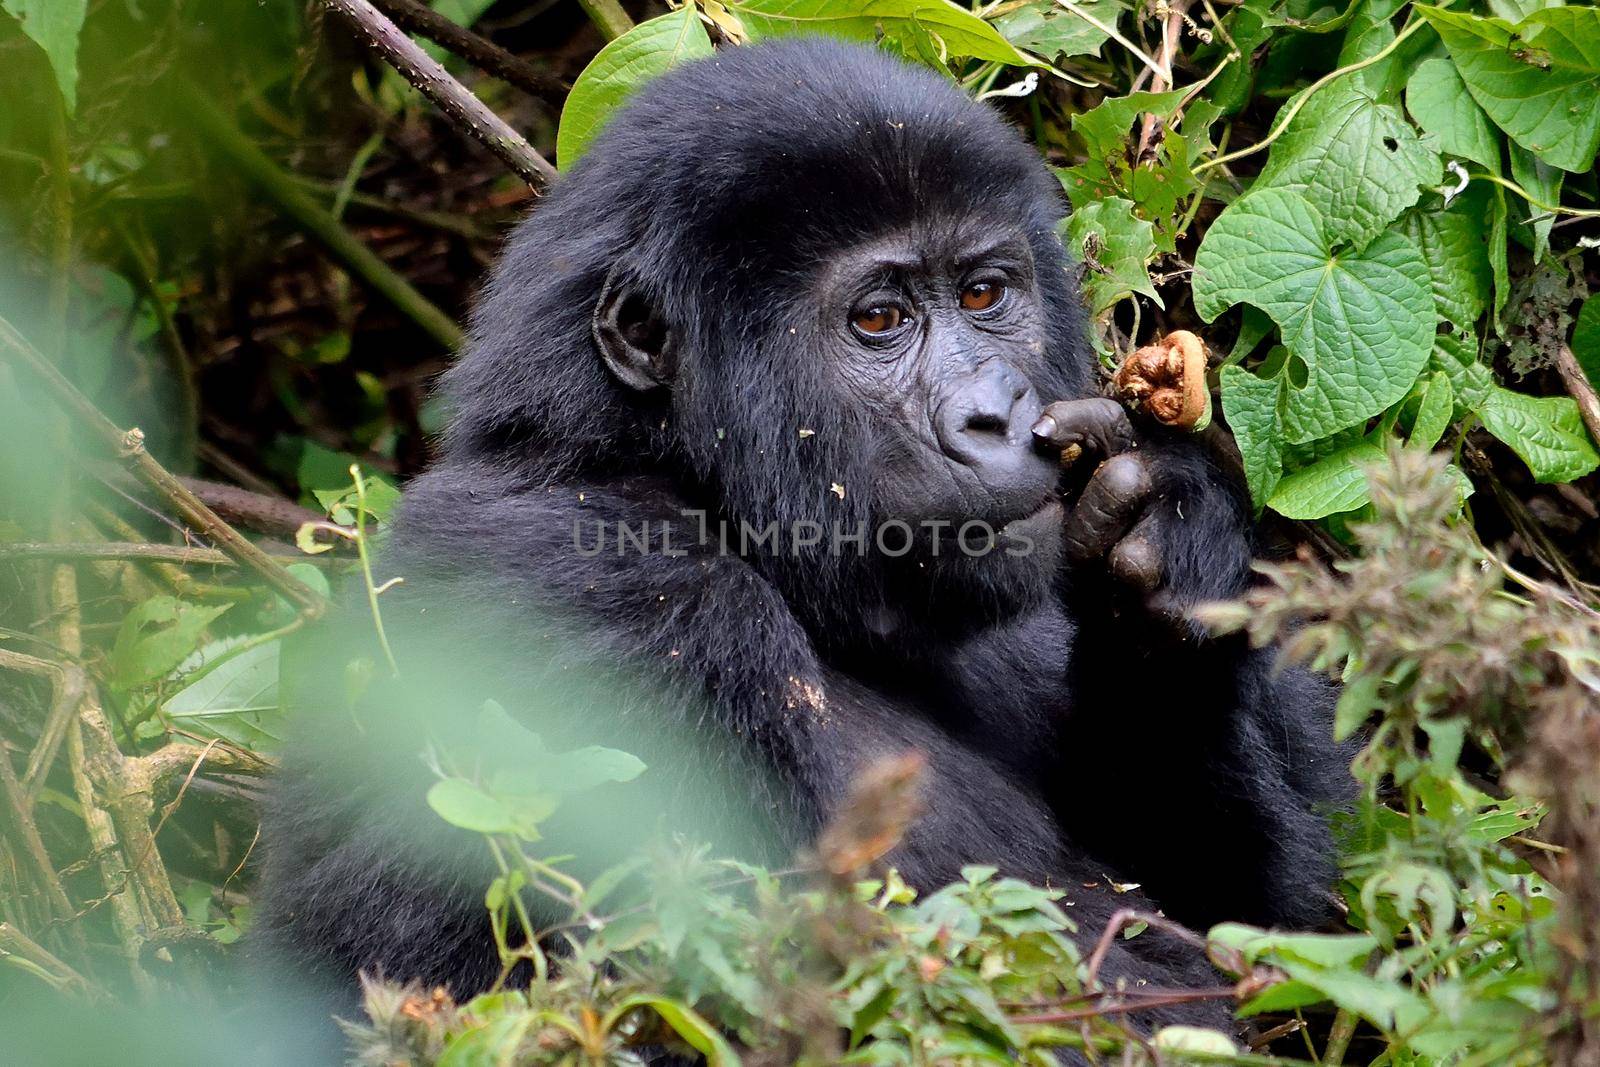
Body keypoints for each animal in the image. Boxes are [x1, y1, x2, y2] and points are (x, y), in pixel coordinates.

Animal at [259, 35, 1350, 1043]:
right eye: (879, 318)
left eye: (984, 294)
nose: (995, 414)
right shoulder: (595, 587)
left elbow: (1286, 941)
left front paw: (1166, 561)